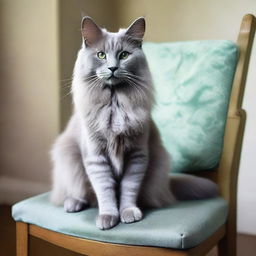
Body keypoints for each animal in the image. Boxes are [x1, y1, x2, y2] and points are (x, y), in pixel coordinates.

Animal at [50, 16, 218, 230]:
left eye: (124, 55)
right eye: (101, 55)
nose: (113, 68)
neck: (115, 105)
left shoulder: (137, 155)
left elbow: (128, 188)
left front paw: (128, 212)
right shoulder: (96, 156)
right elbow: (105, 190)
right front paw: (108, 216)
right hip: (69, 161)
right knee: (80, 192)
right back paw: (73, 203)